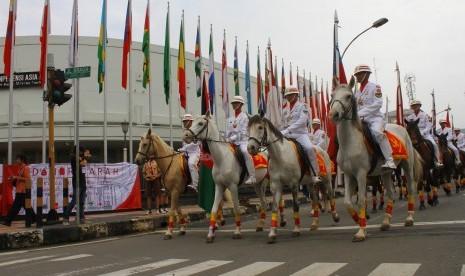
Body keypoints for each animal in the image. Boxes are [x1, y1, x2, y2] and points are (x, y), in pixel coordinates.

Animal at [182, 111, 268, 243]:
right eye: (193, 122)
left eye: (201, 123)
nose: (186, 135)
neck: (221, 158)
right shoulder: (219, 186)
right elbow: (213, 209)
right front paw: (210, 234)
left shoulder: (233, 186)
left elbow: (236, 208)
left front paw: (237, 231)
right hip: (258, 185)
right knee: (263, 202)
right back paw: (260, 225)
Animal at [248, 113, 338, 243]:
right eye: (248, 129)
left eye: (260, 127)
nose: (250, 148)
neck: (280, 156)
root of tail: (322, 150)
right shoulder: (276, 185)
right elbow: (275, 207)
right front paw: (272, 233)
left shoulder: (294, 184)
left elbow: (295, 206)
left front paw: (296, 229)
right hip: (310, 183)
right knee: (315, 199)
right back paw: (315, 223)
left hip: (327, 180)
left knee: (330, 194)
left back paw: (335, 216)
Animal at [328, 76, 422, 242]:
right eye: (332, 95)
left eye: (348, 96)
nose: (333, 115)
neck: (350, 142)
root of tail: (401, 127)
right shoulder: (349, 175)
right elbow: (347, 203)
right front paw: (359, 221)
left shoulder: (361, 174)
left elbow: (361, 201)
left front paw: (361, 231)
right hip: (385, 173)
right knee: (390, 194)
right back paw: (385, 222)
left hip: (407, 166)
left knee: (410, 188)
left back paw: (409, 218)